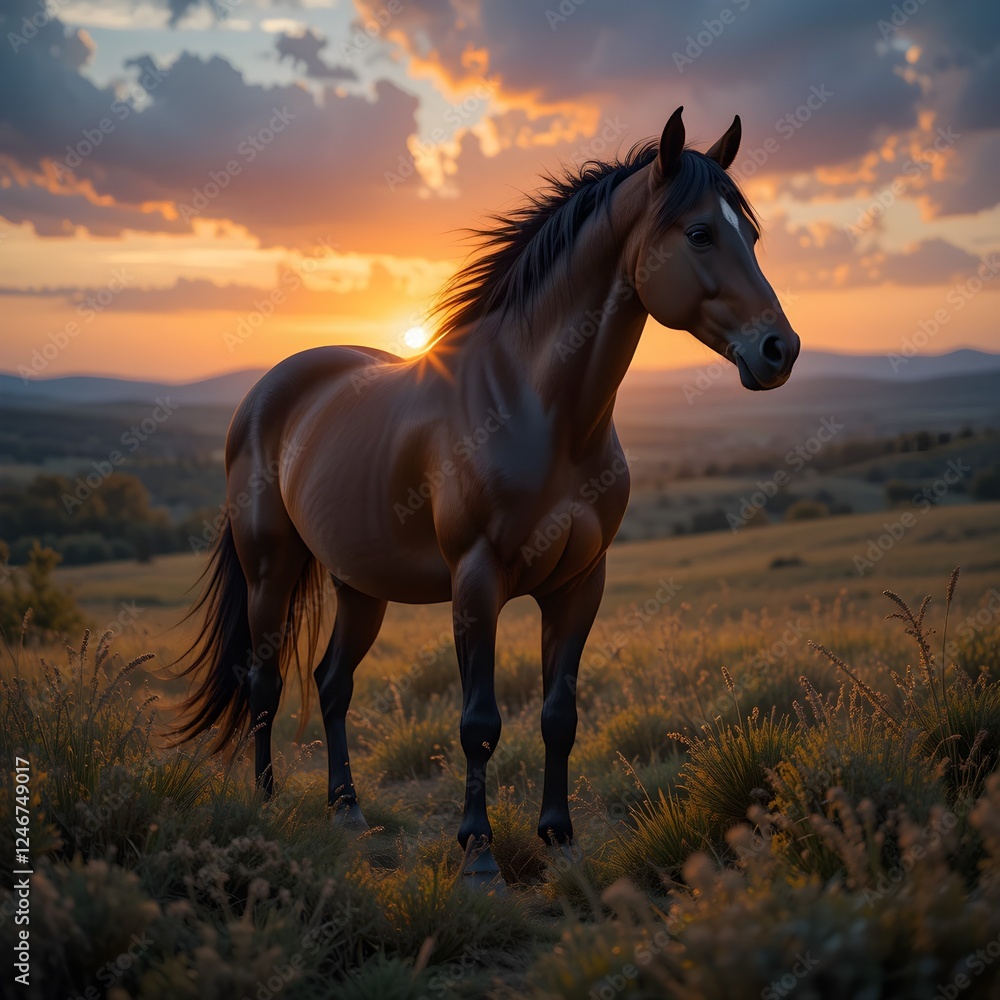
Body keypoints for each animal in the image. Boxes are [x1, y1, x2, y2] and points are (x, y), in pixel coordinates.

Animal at [173, 106, 800, 887]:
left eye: (751, 235)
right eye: (700, 233)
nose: (780, 349)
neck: (543, 413)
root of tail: (269, 390)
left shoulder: (579, 585)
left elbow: (559, 715)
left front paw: (559, 839)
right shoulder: (477, 582)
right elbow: (479, 723)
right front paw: (477, 855)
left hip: (360, 585)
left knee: (331, 682)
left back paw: (346, 811)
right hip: (271, 570)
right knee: (263, 683)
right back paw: (266, 807)